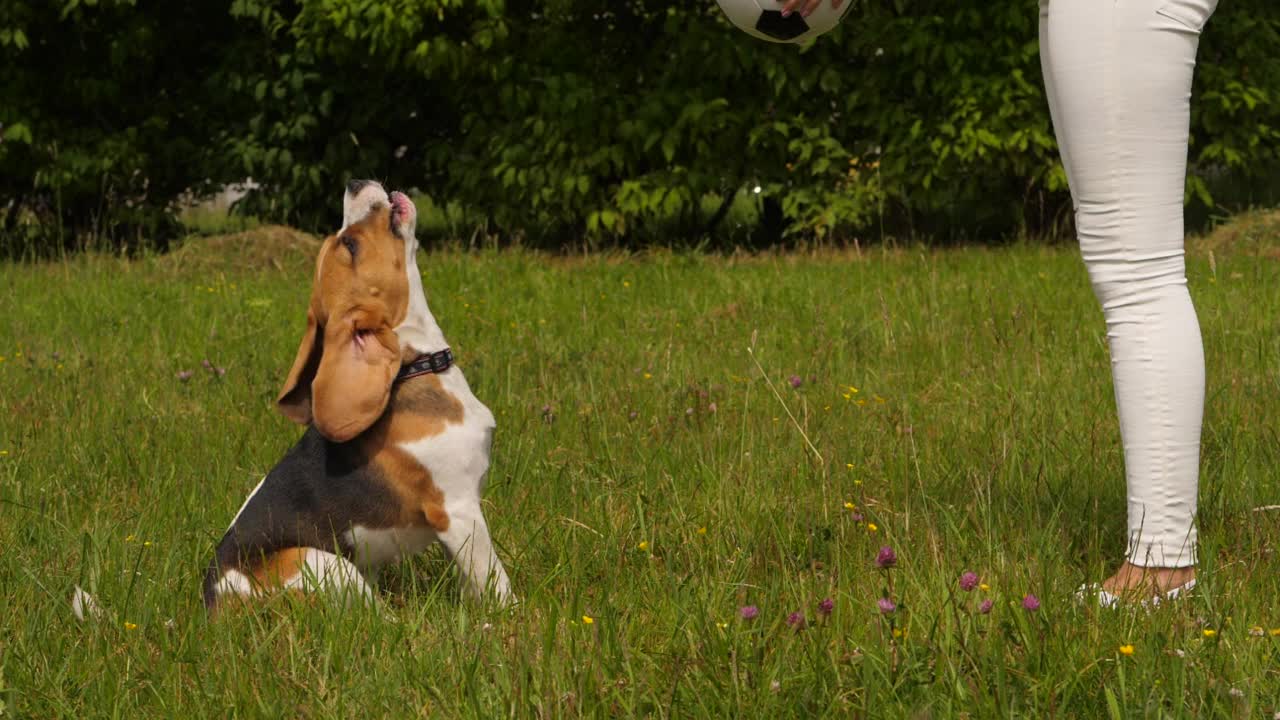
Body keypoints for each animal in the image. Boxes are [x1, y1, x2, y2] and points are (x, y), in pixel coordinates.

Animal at [202, 179, 512, 609]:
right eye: (350, 244)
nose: (354, 184)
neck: (414, 368)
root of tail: (217, 600)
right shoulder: (459, 510)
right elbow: (497, 582)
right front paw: (507, 617)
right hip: (327, 564)